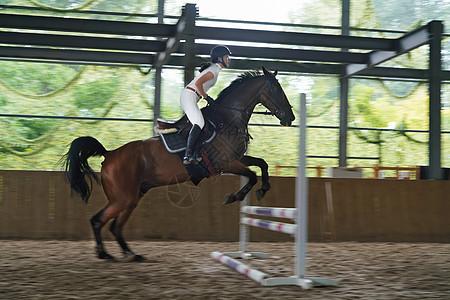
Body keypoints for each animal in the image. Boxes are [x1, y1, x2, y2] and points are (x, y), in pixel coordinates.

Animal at [63, 67, 296, 262]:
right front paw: (235, 196)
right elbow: (252, 175)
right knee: (98, 221)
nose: (291, 118)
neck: (228, 118)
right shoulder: (226, 164)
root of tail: (109, 155)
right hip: (122, 198)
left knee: (116, 226)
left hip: (133, 197)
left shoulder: (236, 159)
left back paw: (132, 254)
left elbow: (262, 165)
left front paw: (263, 189)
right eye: (277, 89)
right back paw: (104, 254)